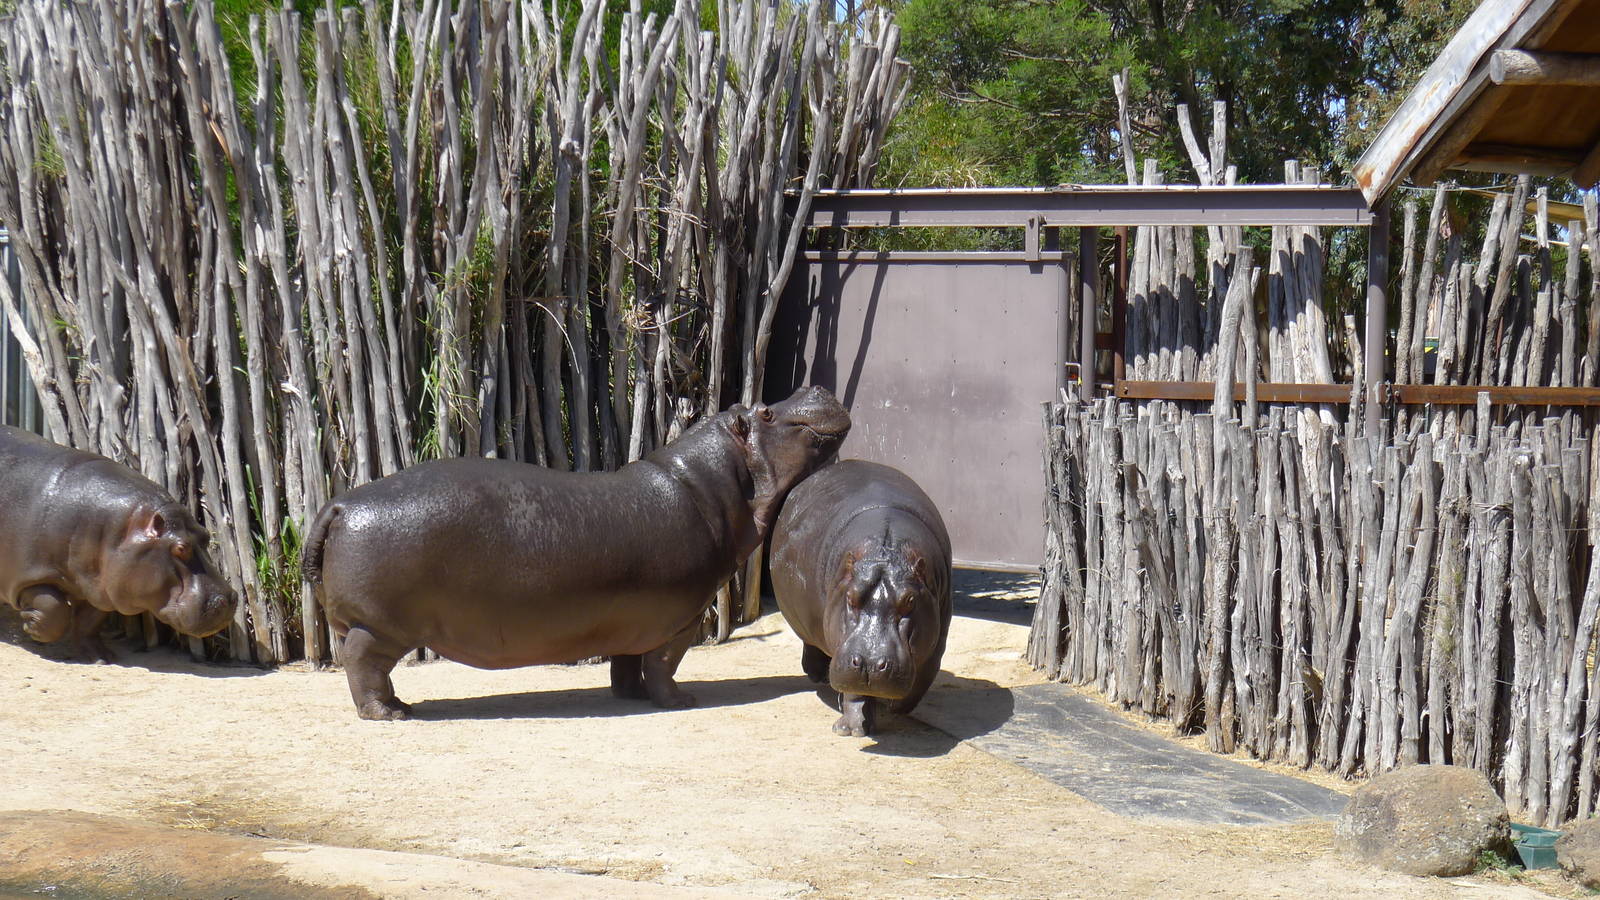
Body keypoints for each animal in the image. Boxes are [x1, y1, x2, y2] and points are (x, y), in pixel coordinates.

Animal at [0, 426, 239, 661]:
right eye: (181, 548)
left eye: (205, 535)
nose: (230, 598)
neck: (120, 530)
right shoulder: (29, 576)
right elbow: (53, 609)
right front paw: (30, 624)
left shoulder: (100, 587)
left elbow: (90, 621)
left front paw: (101, 657)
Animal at [304, 386, 851, 720]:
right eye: (766, 412)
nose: (818, 386)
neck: (709, 484)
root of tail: (342, 502)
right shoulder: (680, 618)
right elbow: (664, 665)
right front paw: (680, 700)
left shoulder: (634, 616)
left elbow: (626, 663)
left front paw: (629, 695)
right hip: (380, 626)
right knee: (362, 665)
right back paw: (392, 713)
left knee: (365, 666)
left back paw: (400, 705)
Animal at [769, 459, 952, 736]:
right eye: (851, 597)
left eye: (910, 601)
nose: (869, 663)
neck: (885, 551)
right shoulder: (843, 647)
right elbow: (854, 692)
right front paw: (849, 729)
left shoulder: (937, 635)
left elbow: (925, 674)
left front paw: (896, 706)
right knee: (810, 644)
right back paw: (817, 675)